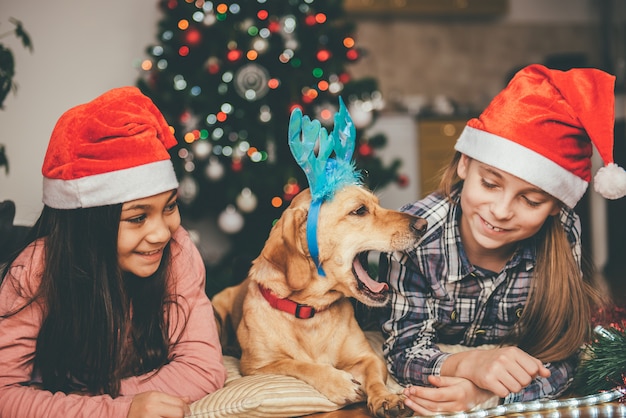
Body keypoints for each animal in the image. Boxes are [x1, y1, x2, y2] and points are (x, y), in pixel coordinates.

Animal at [212, 186, 426, 418]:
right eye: (359, 210)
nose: (423, 225)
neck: (310, 311)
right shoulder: (257, 367)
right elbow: (297, 365)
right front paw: (339, 383)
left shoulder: (368, 357)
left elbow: (376, 379)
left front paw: (386, 398)